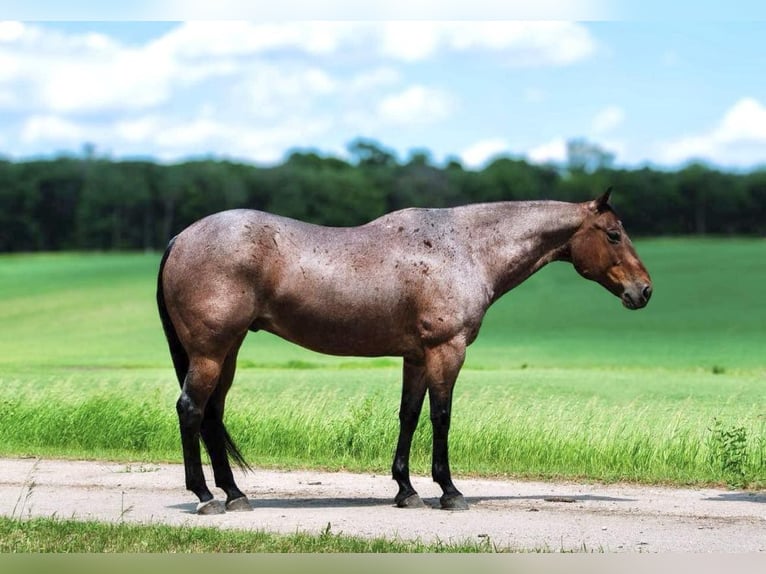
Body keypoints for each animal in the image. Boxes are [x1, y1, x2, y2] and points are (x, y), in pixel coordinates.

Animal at [156, 188, 652, 514]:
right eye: (613, 234)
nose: (644, 291)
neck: (465, 247)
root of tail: (180, 238)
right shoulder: (445, 351)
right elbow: (441, 417)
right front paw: (449, 491)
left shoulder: (415, 356)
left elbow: (409, 415)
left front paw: (405, 490)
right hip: (211, 352)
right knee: (191, 409)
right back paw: (206, 497)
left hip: (228, 352)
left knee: (213, 413)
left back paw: (234, 494)